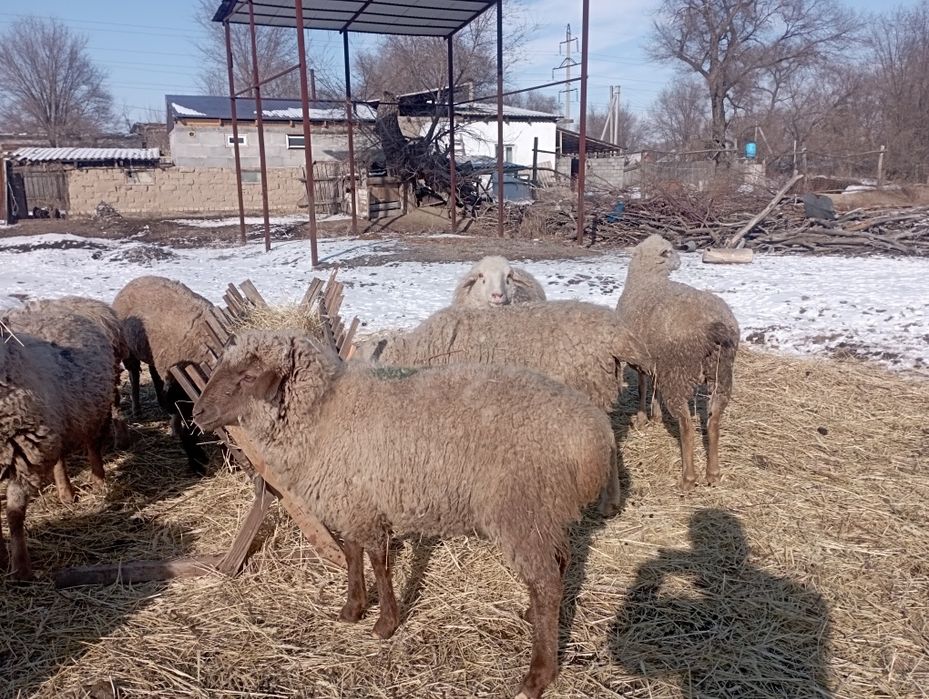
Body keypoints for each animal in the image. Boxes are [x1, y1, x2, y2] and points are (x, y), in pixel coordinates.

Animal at [1, 298, 124, 578]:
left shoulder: (24, 458)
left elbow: (15, 514)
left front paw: (21, 568)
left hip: (92, 410)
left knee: (93, 447)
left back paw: (98, 481)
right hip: (60, 421)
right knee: (60, 460)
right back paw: (66, 493)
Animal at [112, 276, 217, 473]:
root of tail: (136, 279)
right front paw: (176, 430)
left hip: (153, 356)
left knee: (153, 374)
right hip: (129, 352)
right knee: (134, 376)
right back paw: (137, 408)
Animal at [193, 330, 620, 699]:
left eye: (248, 377)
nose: (197, 412)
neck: (325, 411)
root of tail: (596, 436)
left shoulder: (364, 505)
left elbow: (379, 563)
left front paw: (385, 623)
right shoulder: (351, 499)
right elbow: (352, 553)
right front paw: (352, 609)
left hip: (522, 510)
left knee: (546, 583)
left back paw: (536, 677)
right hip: (545, 513)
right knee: (558, 564)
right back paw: (534, 617)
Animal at [615, 234, 740, 490]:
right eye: (671, 251)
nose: (681, 261)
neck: (647, 278)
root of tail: (713, 325)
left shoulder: (642, 360)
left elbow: (642, 387)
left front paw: (642, 418)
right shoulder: (655, 362)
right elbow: (652, 387)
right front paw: (654, 415)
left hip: (679, 371)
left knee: (686, 426)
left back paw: (688, 477)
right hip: (721, 372)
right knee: (713, 421)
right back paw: (713, 473)